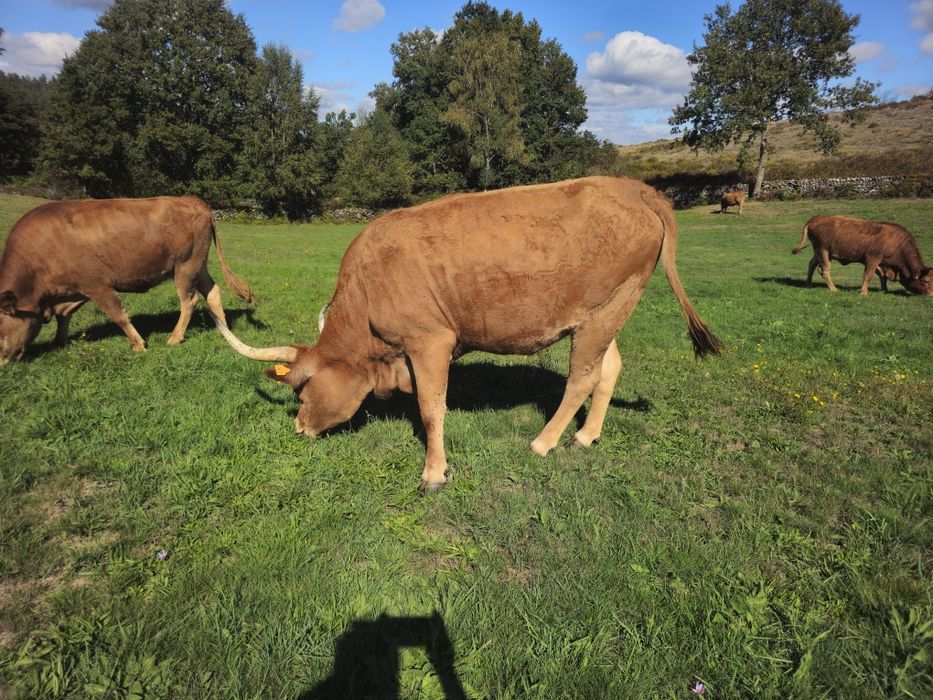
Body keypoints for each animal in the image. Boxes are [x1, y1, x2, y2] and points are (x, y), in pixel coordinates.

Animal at [0, 196, 253, 363]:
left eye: (0, 329)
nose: (3, 362)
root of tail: (193, 200)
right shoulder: (73, 289)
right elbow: (64, 316)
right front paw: (59, 342)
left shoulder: (96, 285)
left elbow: (118, 315)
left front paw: (138, 344)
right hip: (197, 266)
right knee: (213, 291)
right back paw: (222, 329)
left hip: (185, 267)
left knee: (188, 301)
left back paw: (174, 338)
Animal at [211, 177, 723, 492]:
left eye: (302, 390)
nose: (299, 428)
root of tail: (634, 188)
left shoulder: (430, 341)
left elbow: (431, 407)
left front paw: (434, 473)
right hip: (607, 310)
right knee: (608, 368)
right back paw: (585, 436)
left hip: (602, 315)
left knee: (581, 377)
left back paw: (544, 442)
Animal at [792, 215, 933, 296]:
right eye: (925, 280)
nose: (931, 294)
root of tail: (816, 218)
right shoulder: (873, 259)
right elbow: (868, 276)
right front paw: (864, 292)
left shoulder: (882, 263)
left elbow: (882, 277)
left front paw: (884, 290)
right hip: (823, 252)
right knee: (825, 271)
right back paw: (833, 289)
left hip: (819, 253)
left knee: (811, 264)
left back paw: (808, 284)